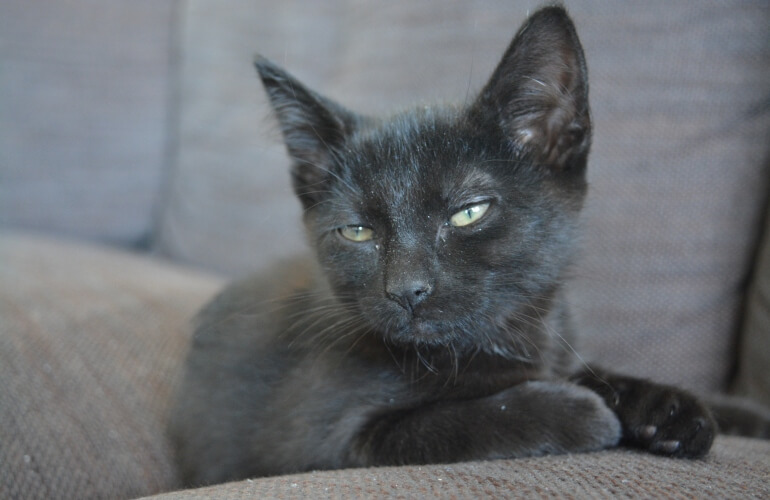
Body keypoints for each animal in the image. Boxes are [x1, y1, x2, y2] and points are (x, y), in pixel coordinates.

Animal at [166, 5, 732, 486]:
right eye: (357, 232)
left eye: (468, 212)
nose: (406, 290)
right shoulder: (318, 443)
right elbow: (452, 422)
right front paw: (580, 410)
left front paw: (664, 408)